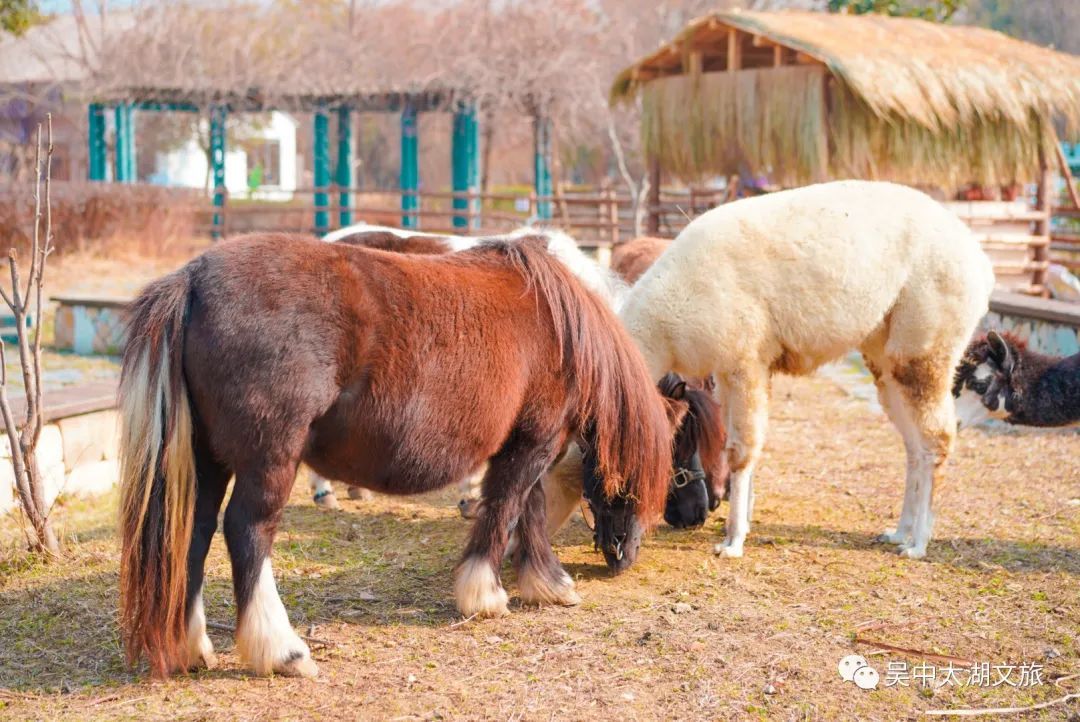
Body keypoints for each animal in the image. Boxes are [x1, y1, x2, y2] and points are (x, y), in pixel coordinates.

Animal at [118, 230, 673, 677]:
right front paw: (485, 594)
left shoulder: (526, 444)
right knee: (247, 531)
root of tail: (193, 279)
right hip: (269, 459)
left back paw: (192, 647)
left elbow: (526, 510)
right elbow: (505, 508)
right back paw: (283, 651)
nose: (624, 556)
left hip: (208, 459)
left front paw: (546, 583)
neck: (561, 322)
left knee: (196, 529)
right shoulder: (535, 441)